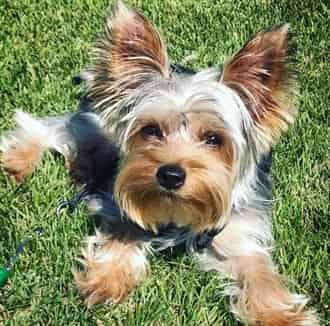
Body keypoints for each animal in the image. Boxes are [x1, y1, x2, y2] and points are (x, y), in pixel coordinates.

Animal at [0, 1, 320, 324]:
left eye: (214, 139)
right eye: (151, 130)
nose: (170, 175)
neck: (176, 210)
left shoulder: (241, 230)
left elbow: (258, 271)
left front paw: (278, 315)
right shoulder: (123, 202)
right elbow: (123, 232)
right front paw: (106, 280)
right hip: (98, 124)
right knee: (52, 127)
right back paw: (19, 160)